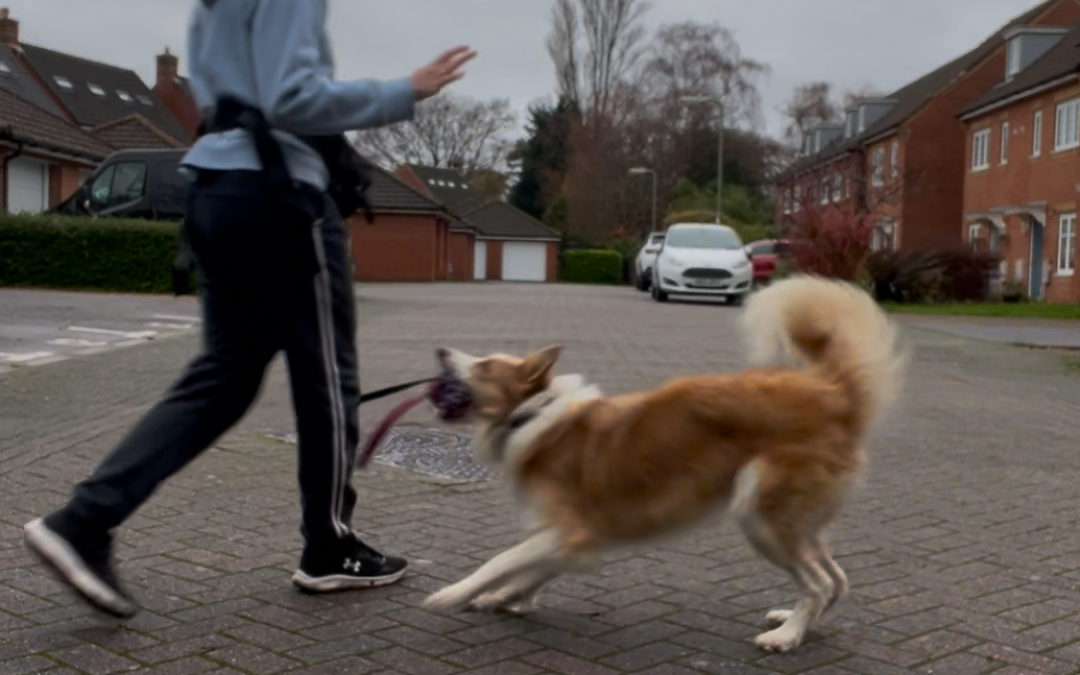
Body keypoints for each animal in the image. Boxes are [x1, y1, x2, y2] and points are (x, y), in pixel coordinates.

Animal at [421, 276, 902, 652]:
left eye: (484, 366)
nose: (440, 351)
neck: (532, 414)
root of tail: (832, 390)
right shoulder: (571, 538)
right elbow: (529, 571)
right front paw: (505, 599)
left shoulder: (568, 532)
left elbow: (499, 561)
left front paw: (454, 594)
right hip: (796, 523)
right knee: (835, 580)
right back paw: (795, 622)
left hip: (760, 516)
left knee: (818, 584)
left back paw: (786, 637)